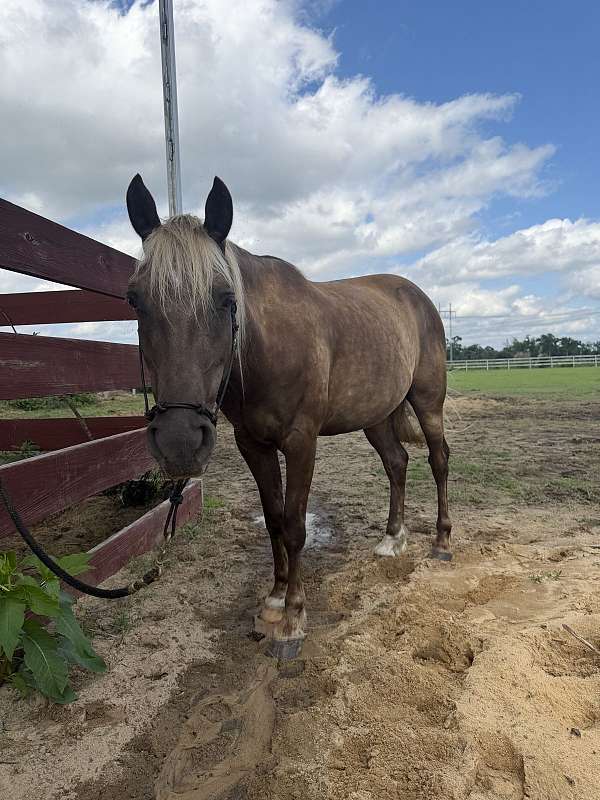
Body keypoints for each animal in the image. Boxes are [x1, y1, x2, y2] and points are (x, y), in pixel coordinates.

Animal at [125, 174, 452, 651]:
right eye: (135, 299)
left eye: (227, 299)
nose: (179, 442)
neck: (268, 348)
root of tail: (418, 297)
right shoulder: (253, 445)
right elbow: (274, 520)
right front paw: (275, 601)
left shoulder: (301, 443)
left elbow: (296, 525)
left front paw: (294, 616)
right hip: (376, 415)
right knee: (397, 462)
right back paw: (393, 539)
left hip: (428, 403)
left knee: (438, 459)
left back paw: (443, 541)